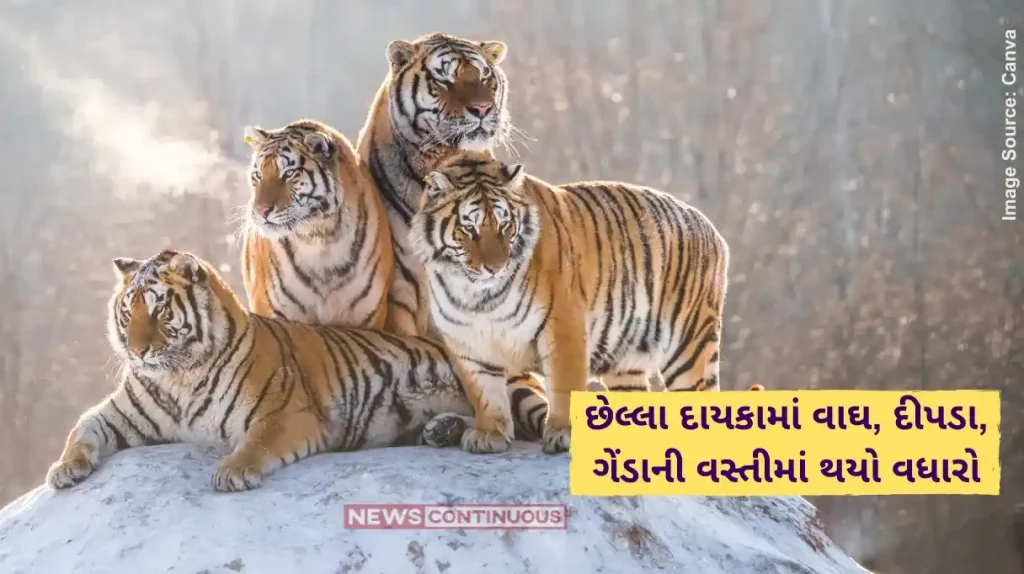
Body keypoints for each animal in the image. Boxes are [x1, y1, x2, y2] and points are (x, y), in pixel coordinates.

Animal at [45, 249, 474, 493]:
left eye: (159, 309)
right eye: (126, 311)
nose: (137, 351)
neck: (178, 377)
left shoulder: (286, 413)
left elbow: (258, 442)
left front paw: (233, 472)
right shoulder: (117, 413)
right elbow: (80, 430)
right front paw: (64, 468)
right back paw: (441, 429)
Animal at [408, 151, 731, 454]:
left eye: (505, 225)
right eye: (469, 229)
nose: (497, 267)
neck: (476, 296)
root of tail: (710, 227)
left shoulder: (562, 326)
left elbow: (564, 386)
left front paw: (563, 433)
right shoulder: (466, 341)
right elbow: (484, 391)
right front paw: (489, 434)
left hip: (688, 347)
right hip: (626, 360)